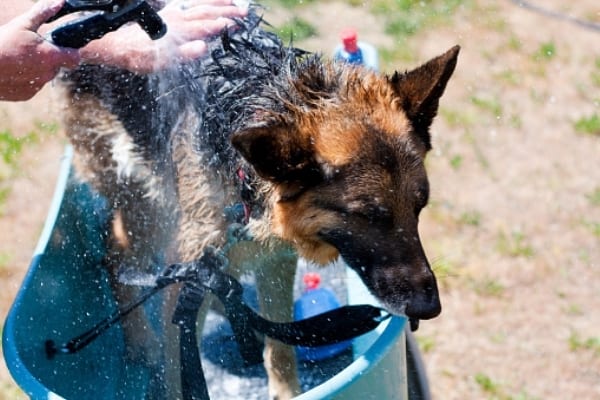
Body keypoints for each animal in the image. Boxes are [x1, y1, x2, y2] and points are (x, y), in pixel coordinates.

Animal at [59, 4, 460, 398]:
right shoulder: (185, 280)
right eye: (366, 215)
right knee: (116, 251)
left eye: (419, 207)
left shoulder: (274, 262)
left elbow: (280, 349)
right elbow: (178, 373)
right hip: (149, 204)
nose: (429, 308)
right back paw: (142, 341)